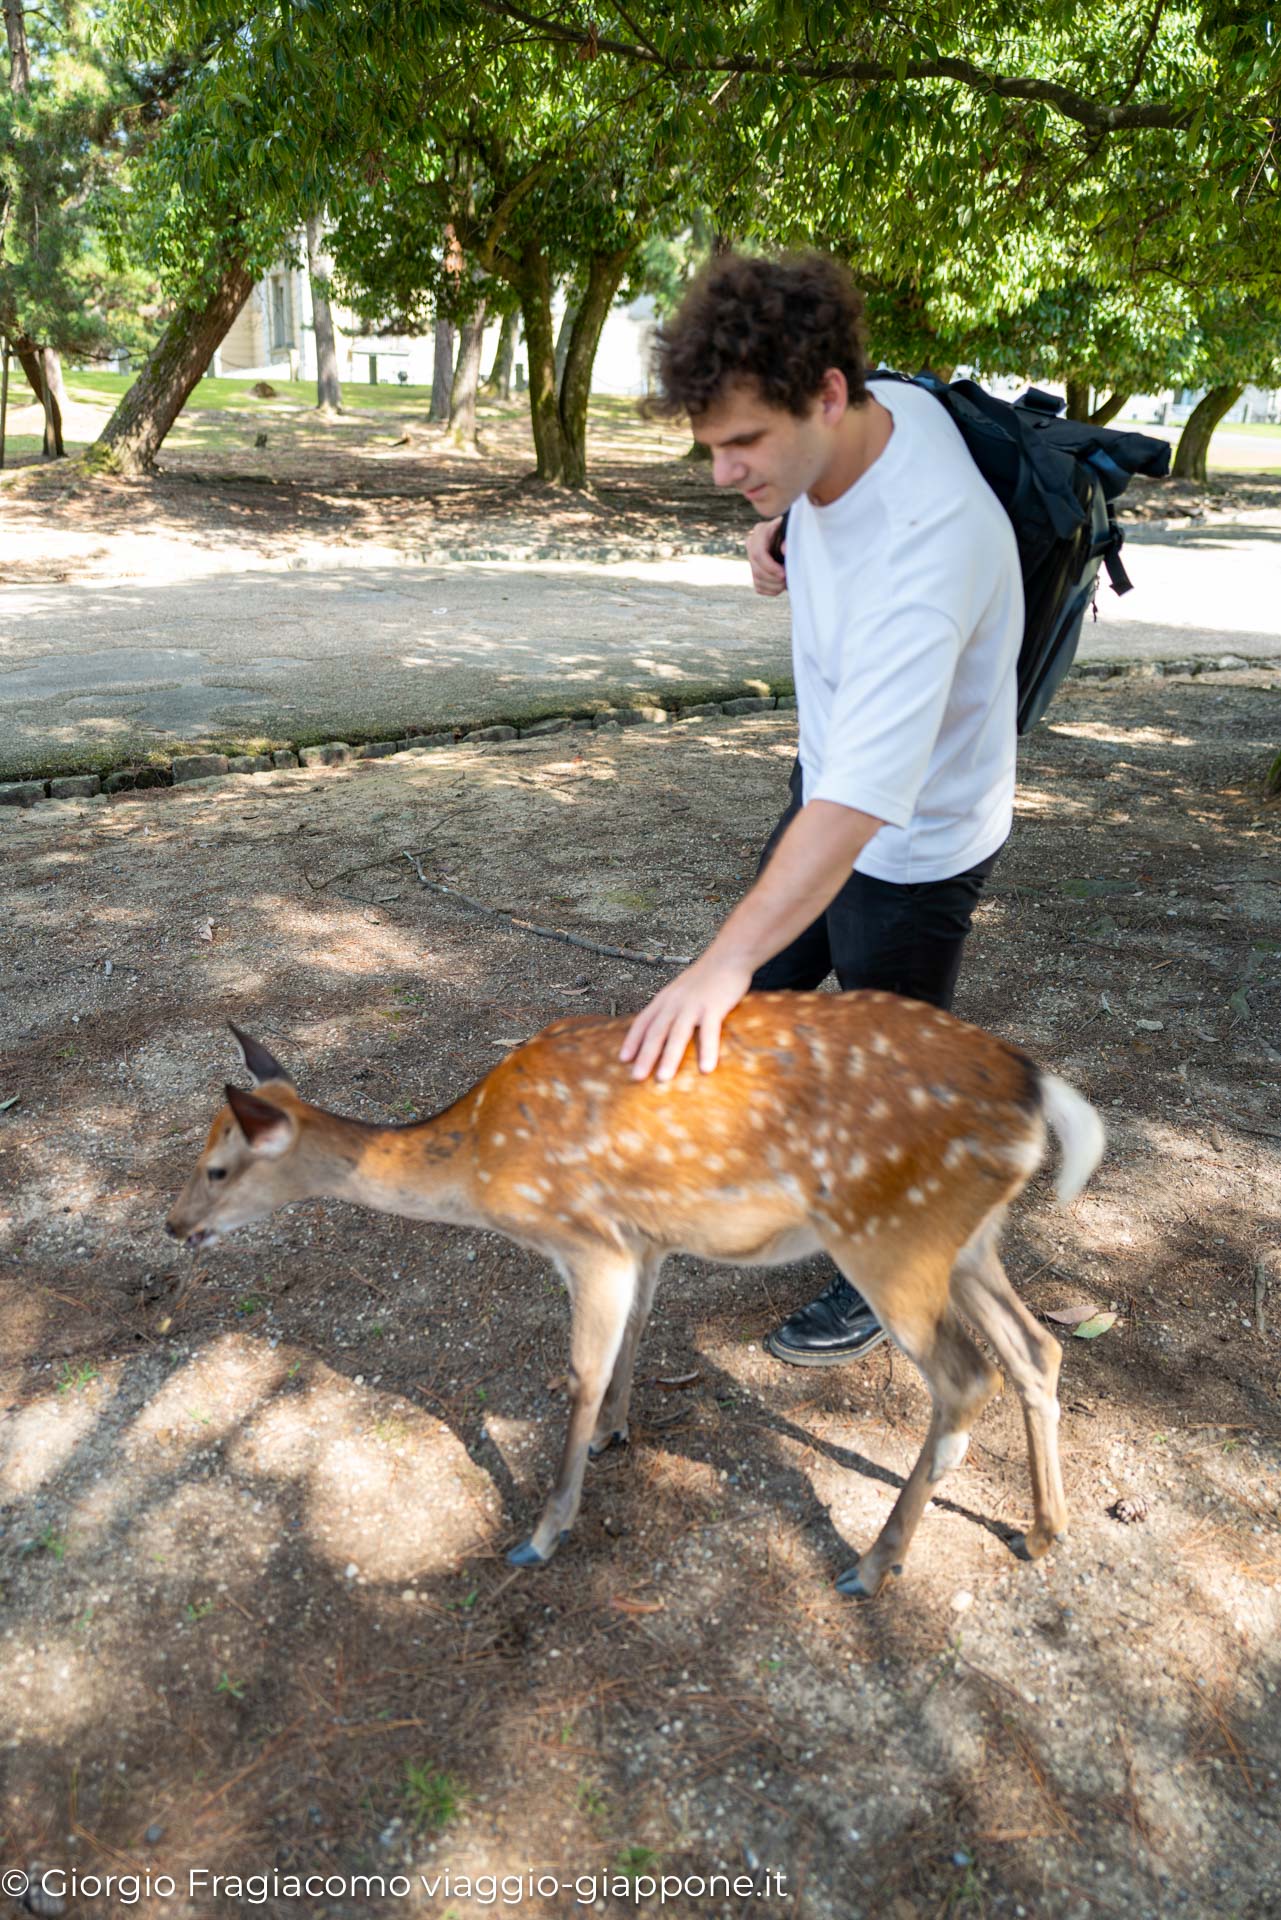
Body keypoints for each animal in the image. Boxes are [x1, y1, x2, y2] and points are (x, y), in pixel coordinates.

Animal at [165, 998, 1106, 1597]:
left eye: (217, 1169)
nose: (174, 1224)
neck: (480, 1166)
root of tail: (1036, 1090)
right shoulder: (642, 1240)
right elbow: (634, 1335)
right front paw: (617, 1431)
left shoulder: (586, 1240)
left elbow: (579, 1372)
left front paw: (542, 1532)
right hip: (966, 1239)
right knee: (1037, 1347)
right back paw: (1042, 1531)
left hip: (889, 1233)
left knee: (965, 1377)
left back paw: (872, 1567)